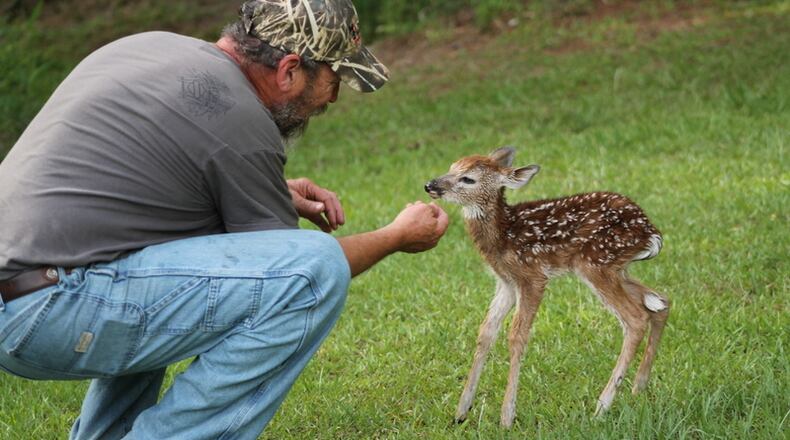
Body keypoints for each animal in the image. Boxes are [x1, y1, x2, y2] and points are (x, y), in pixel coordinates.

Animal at [424, 147, 670, 428]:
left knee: (636, 318)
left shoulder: (533, 276)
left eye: (468, 179)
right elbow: (486, 332)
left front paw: (506, 417)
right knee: (660, 301)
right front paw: (461, 411)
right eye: (452, 167)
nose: (430, 185)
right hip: (617, 268)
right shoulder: (507, 282)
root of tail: (651, 233)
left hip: (596, 263)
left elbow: (516, 336)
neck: (503, 237)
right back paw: (638, 388)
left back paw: (601, 407)